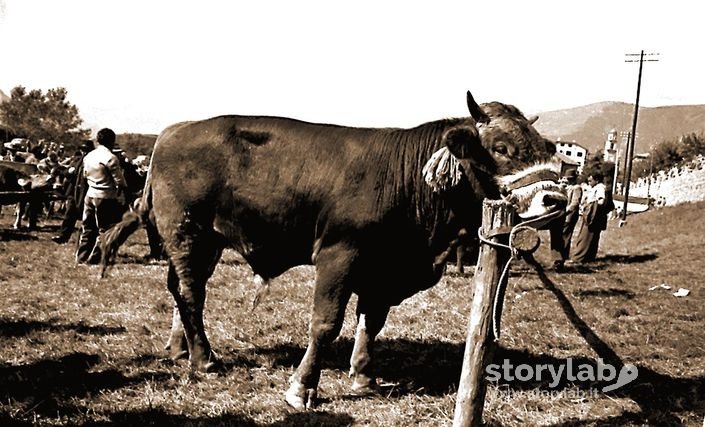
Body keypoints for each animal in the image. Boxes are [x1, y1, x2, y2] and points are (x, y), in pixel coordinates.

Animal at [99, 92, 556, 410]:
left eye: (545, 147)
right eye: (501, 148)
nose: (553, 198)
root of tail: (175, 131)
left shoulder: (383, 270)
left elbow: (371, 323)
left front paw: (364, 377)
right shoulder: (339, 256)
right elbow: (325, 324)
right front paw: (302, 387)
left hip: (207, 240)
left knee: (181, 289)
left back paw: (182, 348)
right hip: (187, 233)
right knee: (191, 292)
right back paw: (204, 359)